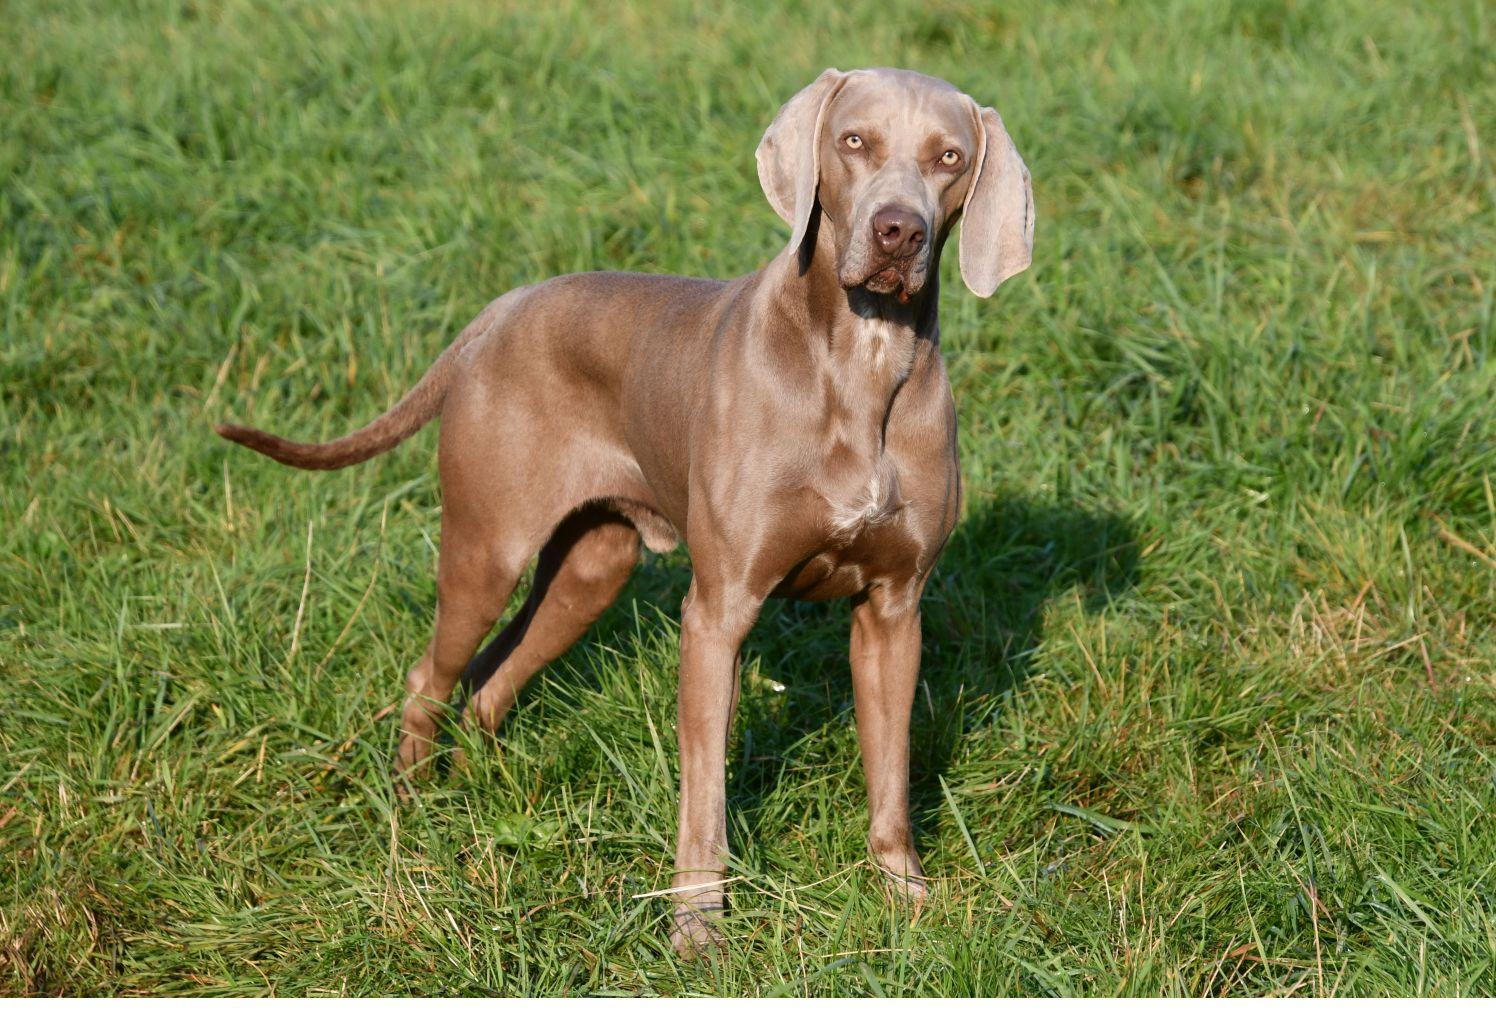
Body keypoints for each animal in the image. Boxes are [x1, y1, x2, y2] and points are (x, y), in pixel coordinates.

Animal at [216, 66, 1035, 957]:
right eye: (854, 141)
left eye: (950, 157)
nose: (898, 232)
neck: (860, 360)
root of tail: (498, 310)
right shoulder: (718, 613)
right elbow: (705, 795)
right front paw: (697, 928)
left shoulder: (893, 611)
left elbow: (890, 774)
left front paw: (904, 896)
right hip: (487, 548)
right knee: (430, 677)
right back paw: (409, 809)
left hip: (591, 567)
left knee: (490, 680)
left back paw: (480, 791)